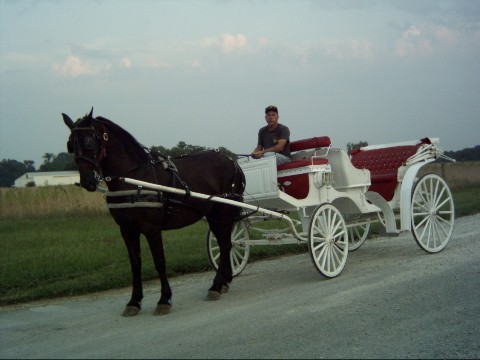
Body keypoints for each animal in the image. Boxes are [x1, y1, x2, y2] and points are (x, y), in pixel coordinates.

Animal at [62, 109, 246, 316]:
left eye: (88, 141)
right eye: (70, 145)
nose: (87, 181)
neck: (136, 178)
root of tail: (232, 161)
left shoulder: (151, 228)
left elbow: (159, 261)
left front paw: (164, 299)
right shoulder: (127, 229)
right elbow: (135, 263)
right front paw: (134, 301)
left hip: (223, 211)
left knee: (225, 245)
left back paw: (215, 286)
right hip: (215, 215)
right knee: (226, 244)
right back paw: (223, 282)